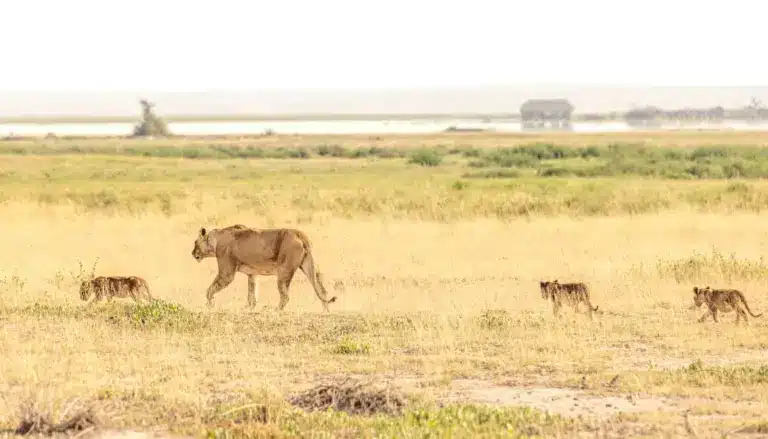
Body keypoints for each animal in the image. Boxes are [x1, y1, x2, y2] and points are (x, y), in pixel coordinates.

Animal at [191, 224, 337, 311]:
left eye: (195, 243)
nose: (192, 254)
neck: (215, 240)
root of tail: (299, 234)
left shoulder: (226, 273)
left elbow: (210, 290)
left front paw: (209, 306)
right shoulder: (252, 274)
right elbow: (251, 294)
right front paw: (250, 309)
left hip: (284, 271)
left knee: (285, 296)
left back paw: (275, 311)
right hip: (309, 266)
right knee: (322, 290)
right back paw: (326, 311)